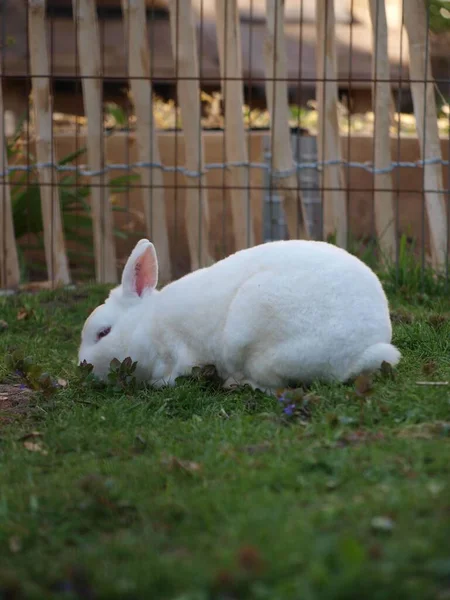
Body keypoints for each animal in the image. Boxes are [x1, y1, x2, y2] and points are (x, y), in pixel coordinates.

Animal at [77, 239, 400, 394]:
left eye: (103, 333)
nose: (83, 366)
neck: (147, 324)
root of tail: (365, 349)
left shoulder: (178, 354)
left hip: (257, 343)